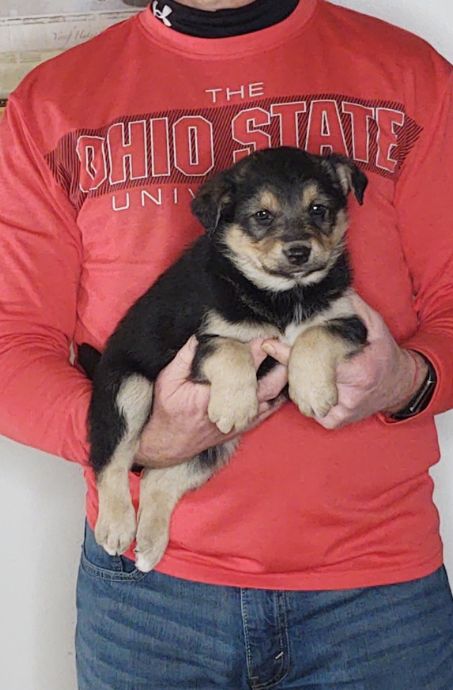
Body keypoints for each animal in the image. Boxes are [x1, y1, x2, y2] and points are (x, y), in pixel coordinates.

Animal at [77, 148, 368, 572]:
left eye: (319, 209)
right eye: (262, 215)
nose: (299, 251)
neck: (282, 295)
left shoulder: (350, 322)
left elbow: (314, 336)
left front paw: (312, 391)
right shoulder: (200, 340)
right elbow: (231, 349)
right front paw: (235, 404)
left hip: (215, 446)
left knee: (156, 479)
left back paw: (148, 547)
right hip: (128, 388)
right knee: (110, 460)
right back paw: (116, 527)